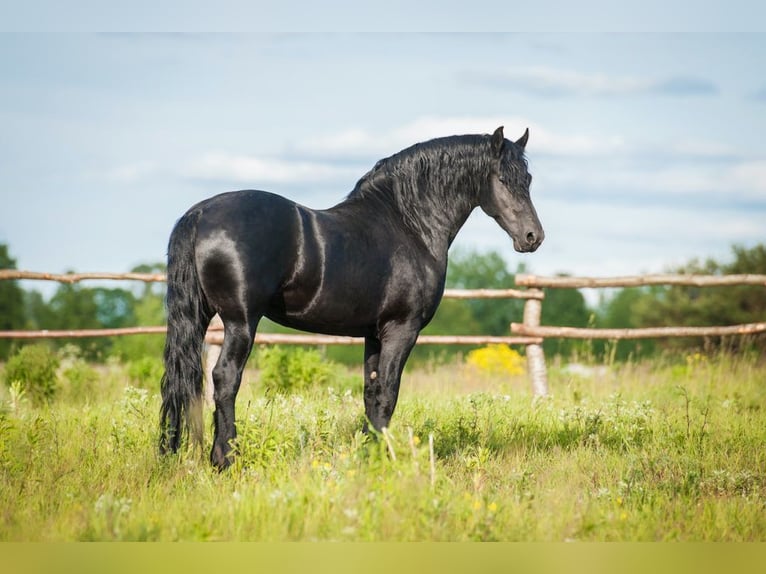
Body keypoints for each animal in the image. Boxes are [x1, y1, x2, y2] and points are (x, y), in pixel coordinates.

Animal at [160, 126, 544, 468]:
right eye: (502, 179)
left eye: (527, 179)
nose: (533, 237)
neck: (409, 224)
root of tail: (200, 214)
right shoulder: (402, 330)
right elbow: (388, 394)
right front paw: (384, 459)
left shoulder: (374, 334)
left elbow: (371, 395)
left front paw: (367, 454)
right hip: (241, 321)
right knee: (225, 378)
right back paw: (225, 459)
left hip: (201, 318)